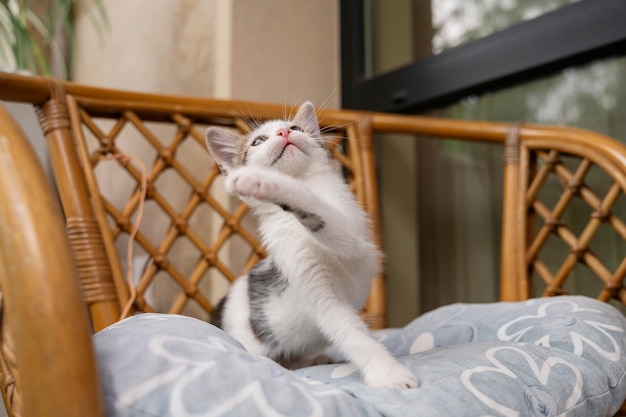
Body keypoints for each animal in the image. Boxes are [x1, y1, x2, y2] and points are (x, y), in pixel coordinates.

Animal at [205, 102, 416, 388]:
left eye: (296, 128)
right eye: (258, 141)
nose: (284, 132)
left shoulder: (356, 241)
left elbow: (322, 211)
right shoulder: (316, 289)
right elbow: (351, 332)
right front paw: (389, 373)